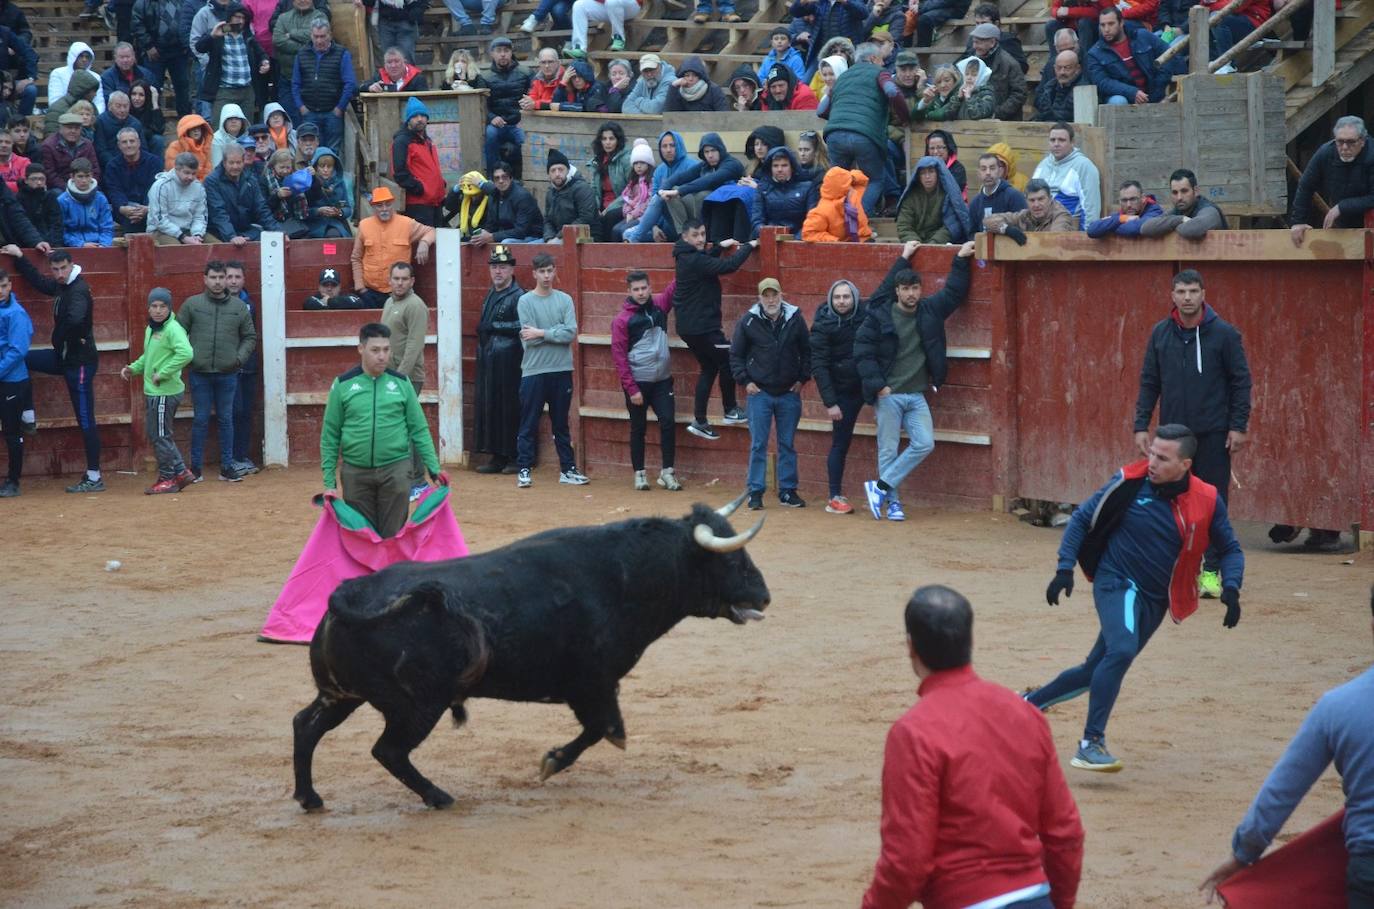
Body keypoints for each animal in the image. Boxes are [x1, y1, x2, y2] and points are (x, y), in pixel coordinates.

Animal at [291, 494, 774, 812]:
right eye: (733, 561)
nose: (765, 596)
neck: (625, 575)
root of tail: (349, 591)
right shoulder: (593, 684)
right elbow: (607, 730)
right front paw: (551, 762)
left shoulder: (592, 687)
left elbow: (602, 729)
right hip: (417, 706)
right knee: (388, 751)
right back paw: (439, 796)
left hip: (342, 695)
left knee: (305, 726)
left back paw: (310, 798)